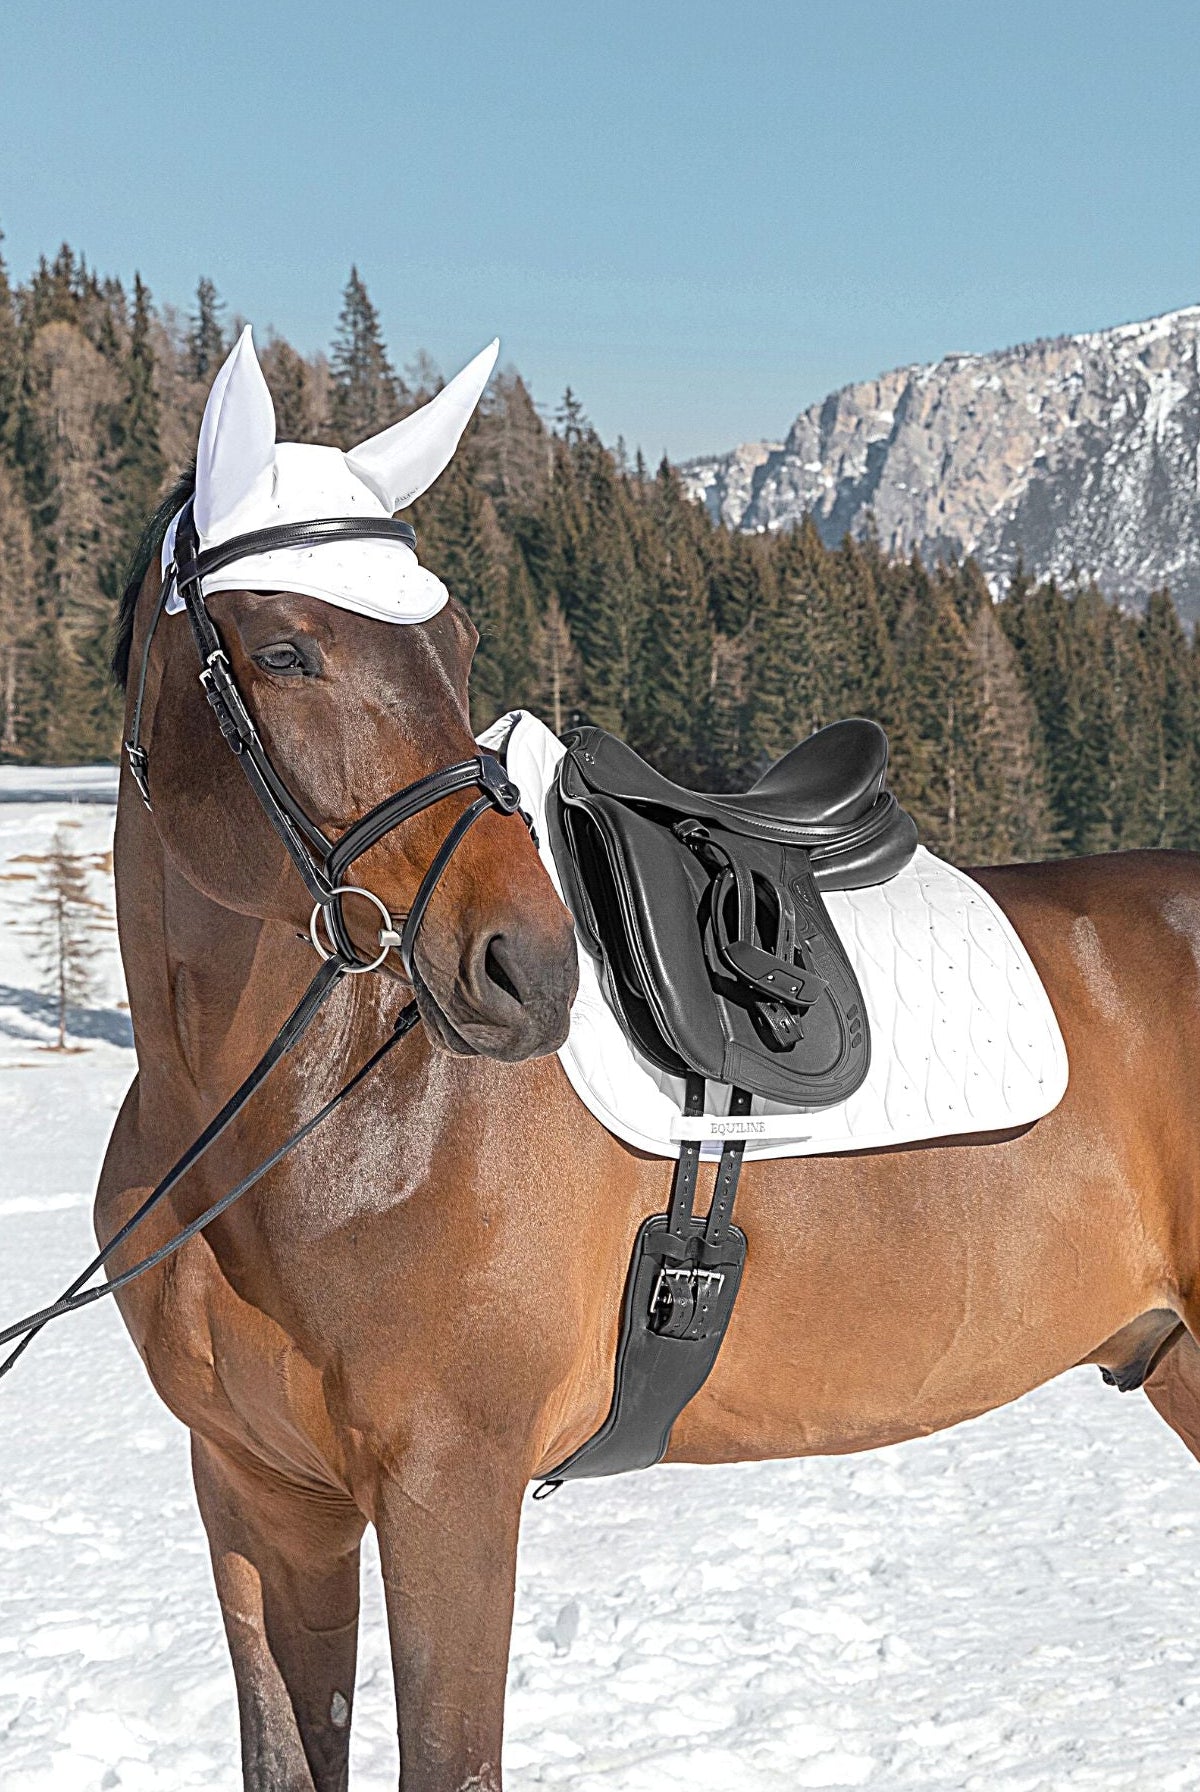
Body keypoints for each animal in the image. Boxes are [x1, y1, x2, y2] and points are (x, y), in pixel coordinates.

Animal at [97, 473, 1200, 1792]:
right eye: (280, 650)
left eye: (454, 642)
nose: (526, 967)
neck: (299, 1126)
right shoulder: (259, 1497)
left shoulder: (447, 1492)